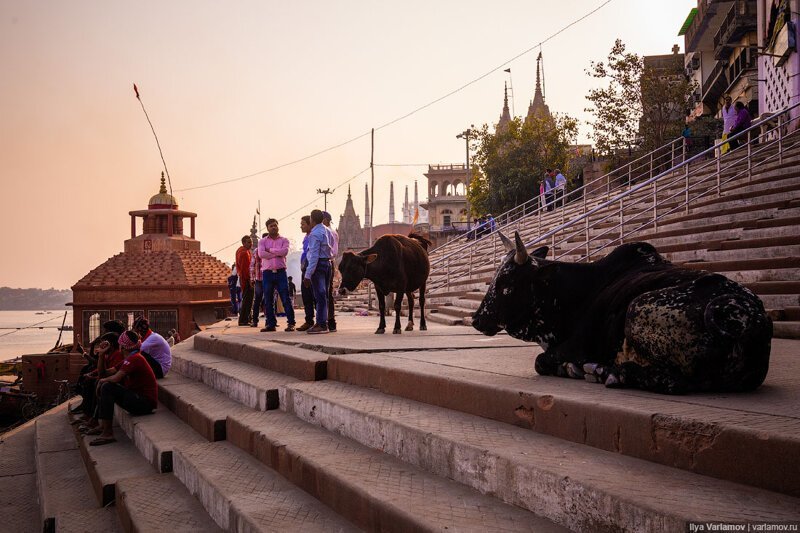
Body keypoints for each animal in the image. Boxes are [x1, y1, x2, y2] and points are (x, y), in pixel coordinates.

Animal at [472, 231, 772, 392]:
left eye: (506, 282)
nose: (477, 319)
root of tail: (750, 316)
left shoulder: (574, 346)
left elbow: (541, 360)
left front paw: (573, 367)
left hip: (639, 306)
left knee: (675, 382)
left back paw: (608, 372)